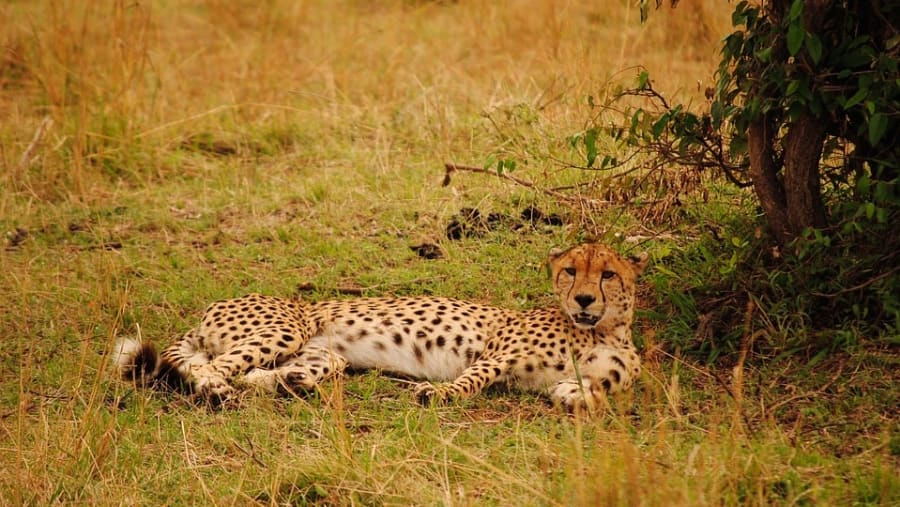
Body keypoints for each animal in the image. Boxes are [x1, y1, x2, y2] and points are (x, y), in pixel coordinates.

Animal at [114, 242, 648, 411]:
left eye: (607, 274)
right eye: (570, 271)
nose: (583, 299)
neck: (603, 330)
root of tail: (213, 306)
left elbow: (592, 395)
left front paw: (574, 396)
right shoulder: (497, 355)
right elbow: (470, 381)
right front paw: (437, 393)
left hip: (322, 353)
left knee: (255, 372)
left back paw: (288, 383)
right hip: (283, 329)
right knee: (216, 368)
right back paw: (217, 392)